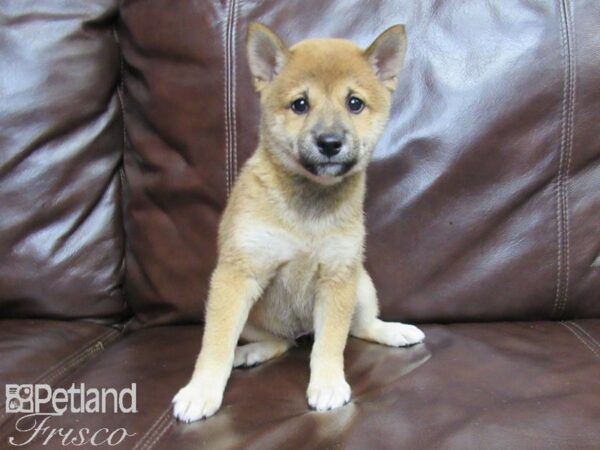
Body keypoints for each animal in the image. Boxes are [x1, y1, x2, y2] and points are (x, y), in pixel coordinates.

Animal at [172, 21, 426, 422]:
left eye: (354, 103)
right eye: (300, 104)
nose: (330, 142)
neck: (309, 206)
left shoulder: (338, 277)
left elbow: (331, 342)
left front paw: (327, 384)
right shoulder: (237, 275)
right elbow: (216, 344)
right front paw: (202, 391)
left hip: (362, 284)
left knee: (358, 327)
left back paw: (393, 332)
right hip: (251, 312)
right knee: (279, 341)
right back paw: (250, 352)